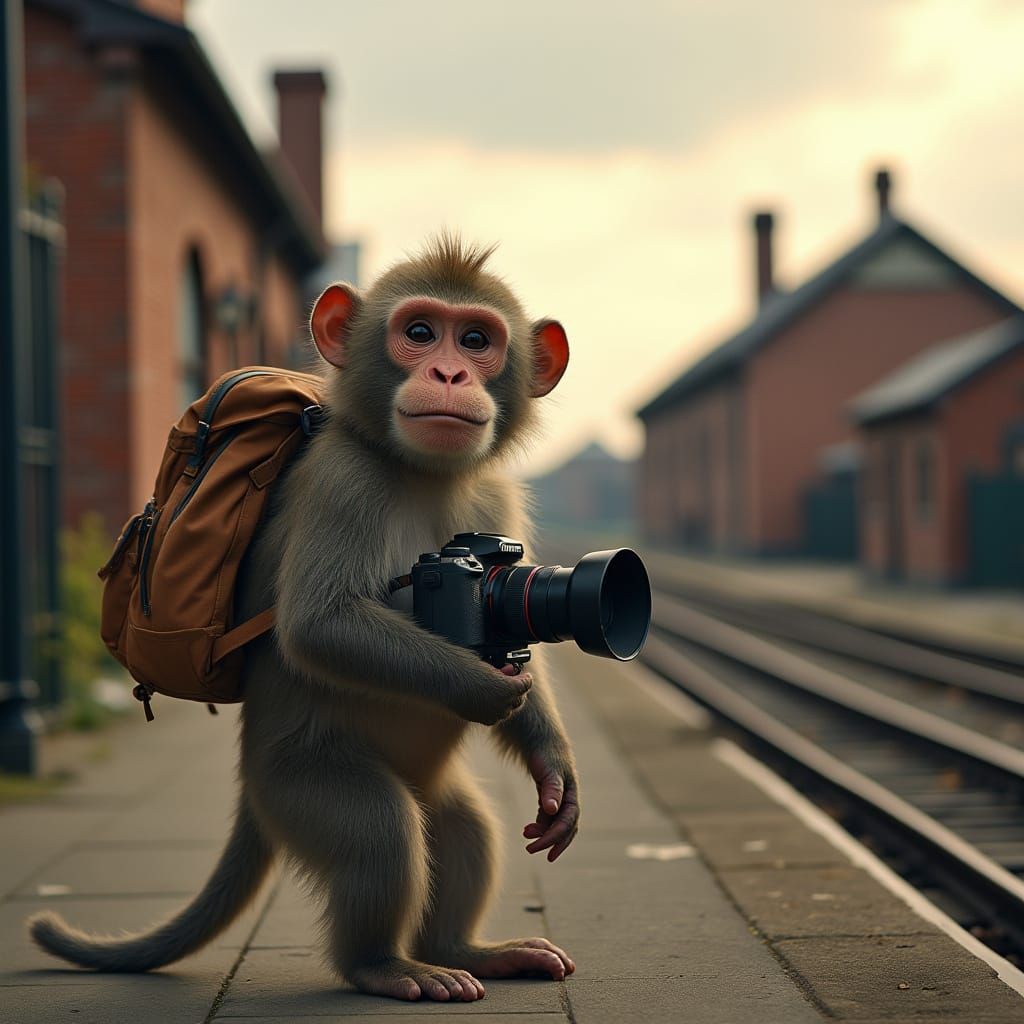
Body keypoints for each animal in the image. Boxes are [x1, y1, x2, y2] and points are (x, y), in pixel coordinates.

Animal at [29, 235, 580, 1003]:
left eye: (476, 340)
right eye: (419, 332)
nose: (447, 371)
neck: (427, 474)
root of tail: (251, 788)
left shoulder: (496, 497)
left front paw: (554, 768)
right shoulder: (344, 482)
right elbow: (322, 627)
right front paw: (485, 686)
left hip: (403, 786)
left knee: (464, 825)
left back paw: (467, 950)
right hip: (296, 782)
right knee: (381, 830)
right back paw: (383, 965)